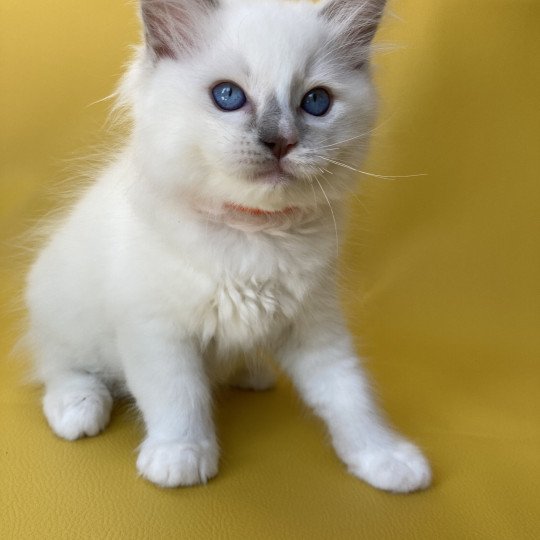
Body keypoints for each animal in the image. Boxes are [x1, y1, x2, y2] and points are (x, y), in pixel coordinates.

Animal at [24, 0, 430, 494]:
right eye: (228, 96)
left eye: (316, 102)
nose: (280, 141)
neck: (253, 233)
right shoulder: (156, 330)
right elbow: (178, 396)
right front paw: (180, 456)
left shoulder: (315, 325)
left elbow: (350, 394)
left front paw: (385, 458)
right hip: (66, 317)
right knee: (58, 366)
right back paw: (78, 407)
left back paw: (251, 374)